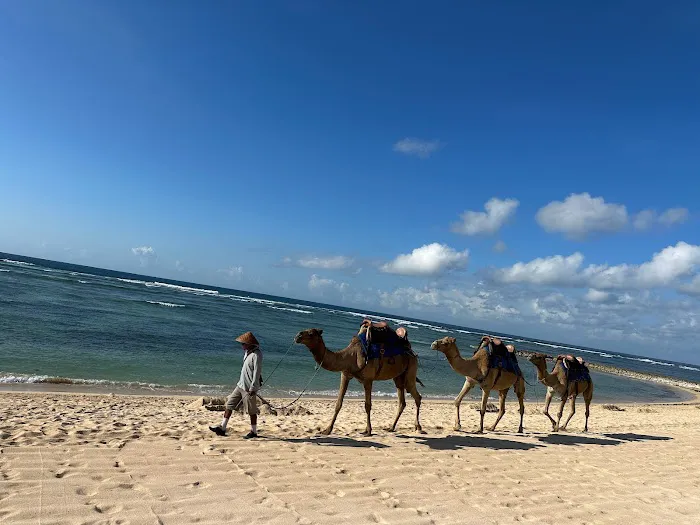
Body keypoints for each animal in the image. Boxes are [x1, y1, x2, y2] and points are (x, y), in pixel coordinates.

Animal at [294, 328, 424, 434]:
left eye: (311, 333)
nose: (297, 336)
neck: (351, 356)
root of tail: (412, 351)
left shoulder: (368, 379)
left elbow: (367, 405)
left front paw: (368, 431)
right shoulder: (345, 375)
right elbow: (338, 403)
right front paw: (327, 430)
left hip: (411, 371)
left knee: (417, 396)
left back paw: (418, 427)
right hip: (398, 377)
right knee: (402, 401)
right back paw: (391, 427)